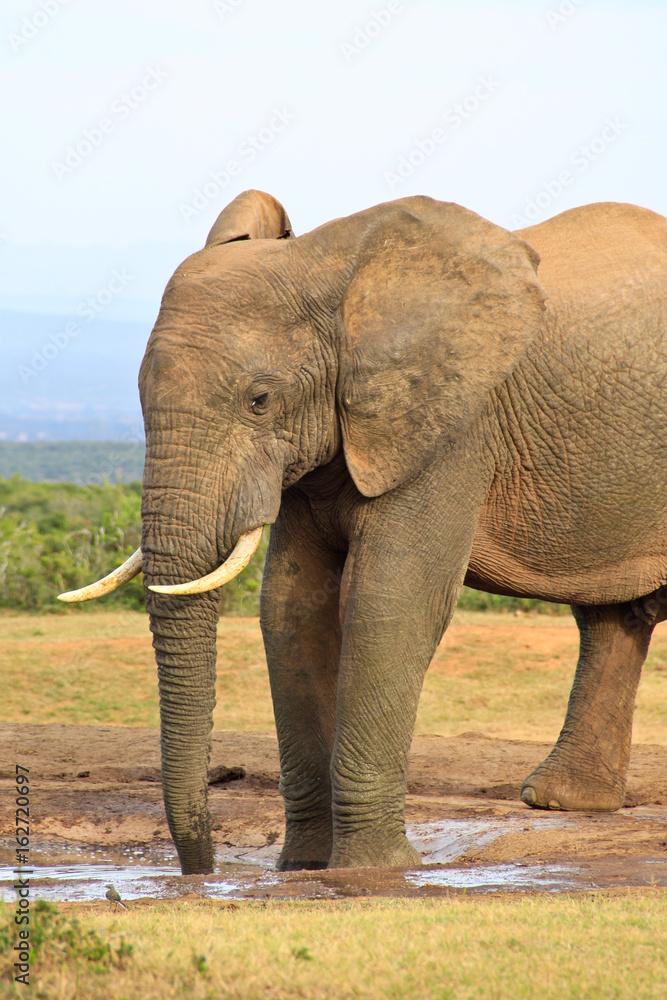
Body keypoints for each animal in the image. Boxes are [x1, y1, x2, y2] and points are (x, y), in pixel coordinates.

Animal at [60, 188, 667, 875]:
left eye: (259, 400)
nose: (202, 871)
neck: (325, 268)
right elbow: (290, 607)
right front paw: (303, 867)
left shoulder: (451, 426)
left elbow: (388, 601)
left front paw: (375, 868)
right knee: (613, 617)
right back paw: (562, 801)